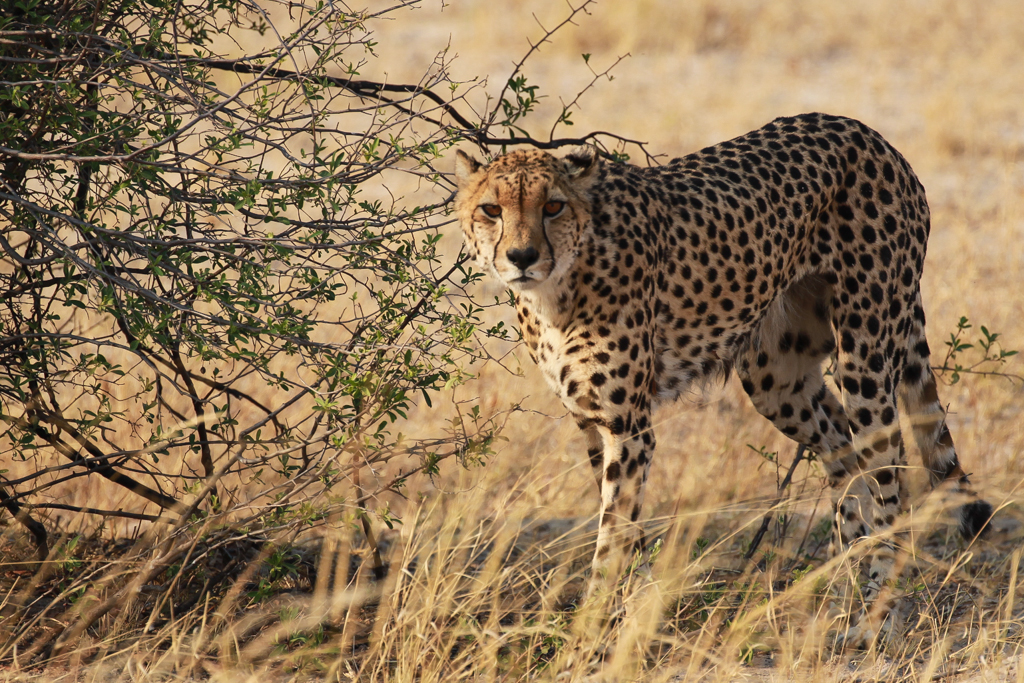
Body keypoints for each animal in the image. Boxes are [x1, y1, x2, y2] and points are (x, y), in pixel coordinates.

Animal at [454, 112, 991, 647]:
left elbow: (612, 536)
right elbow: (626, 527)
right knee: (841, 447)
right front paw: (635, 610)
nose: (522, 256)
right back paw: (843, 584)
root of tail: (863, 130)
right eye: (490, 209)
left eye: (553, 206)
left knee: (888, 476)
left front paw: (593, 629)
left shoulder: (628, 426)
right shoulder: (594, 422)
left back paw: (877, 615)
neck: (560, 285)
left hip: (866, 353)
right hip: (776, 376)